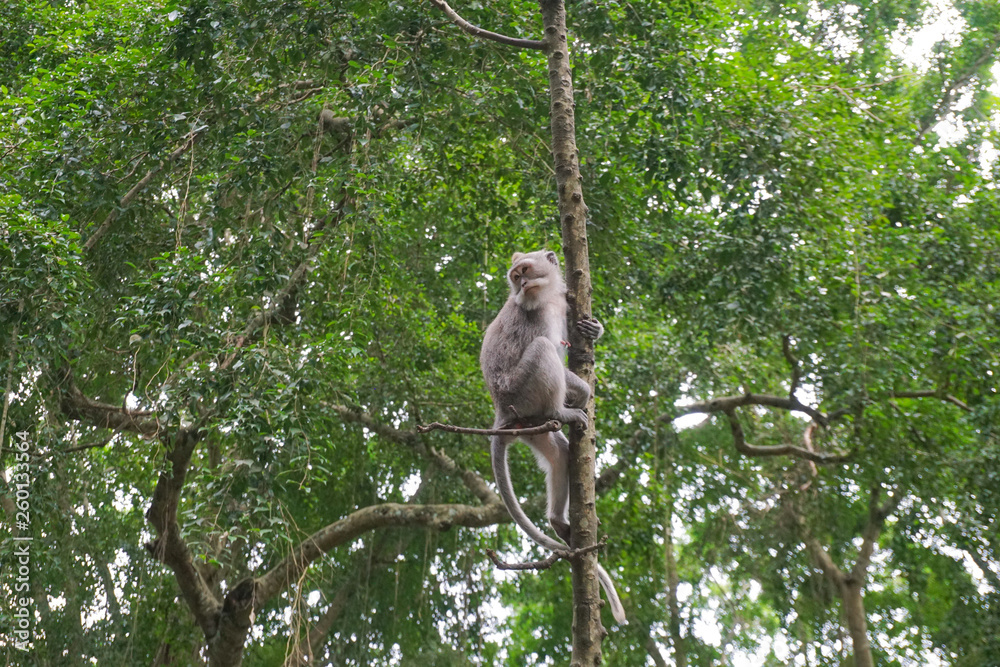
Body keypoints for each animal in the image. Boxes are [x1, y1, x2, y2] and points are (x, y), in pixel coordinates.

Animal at [480, 249, 626, 624]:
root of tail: (501, 414)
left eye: (524, 270)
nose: (521, 284)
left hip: (530, 423)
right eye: (515, 276)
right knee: (544, 348)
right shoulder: (535, 317)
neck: (545, 299)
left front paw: (595, 329)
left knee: (559, 455)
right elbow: (552, 352)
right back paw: (564, 411)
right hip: (522, 393)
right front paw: (584, 392)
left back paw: (558, 521)